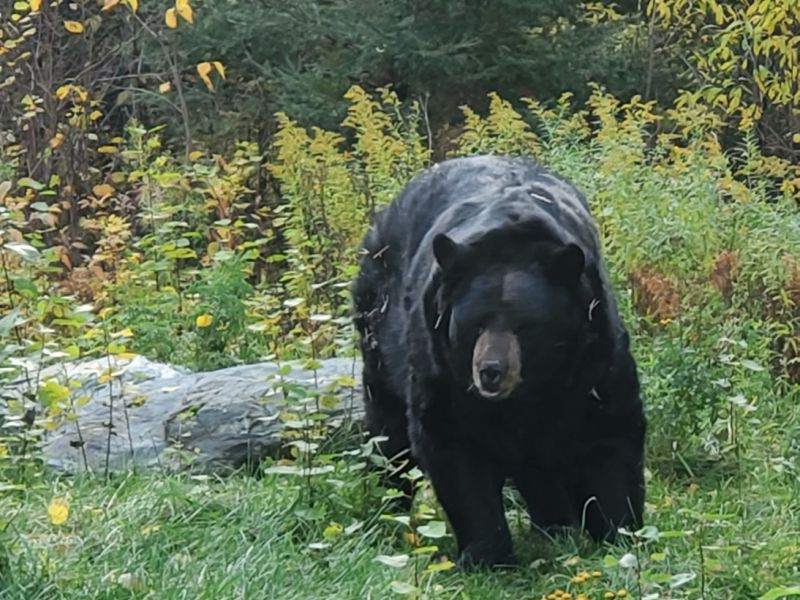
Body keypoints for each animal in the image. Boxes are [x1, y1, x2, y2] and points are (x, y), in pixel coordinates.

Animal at [352, 155, 646, 568]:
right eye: (474, 324)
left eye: (525, 326)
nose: (491, 372)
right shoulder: (443, 370)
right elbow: (452, 446)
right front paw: (487, 555)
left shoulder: (593, 357)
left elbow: (610, 433)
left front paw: (620, 533)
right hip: (379, 332)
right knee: (388, 433)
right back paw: (389, 504)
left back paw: (554, 527)